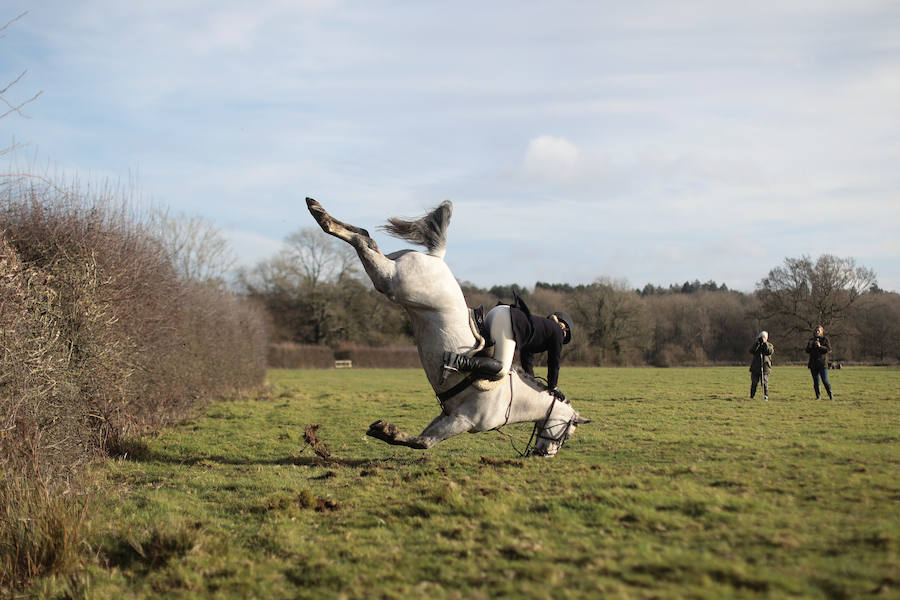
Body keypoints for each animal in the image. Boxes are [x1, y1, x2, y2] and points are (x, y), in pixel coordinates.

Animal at [308, 199, 592, 458]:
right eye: (568, 432)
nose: (545, 454)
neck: (511, 400)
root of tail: (437, 257)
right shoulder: (462, 420)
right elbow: (422, 443)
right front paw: (385, 430)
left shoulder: (448, 415)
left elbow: (423, 439)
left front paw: (387, 431)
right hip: (393, 282)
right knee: (363, 242)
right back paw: (321, 215)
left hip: (394, 274)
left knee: (367, 237)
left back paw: (319, 210)